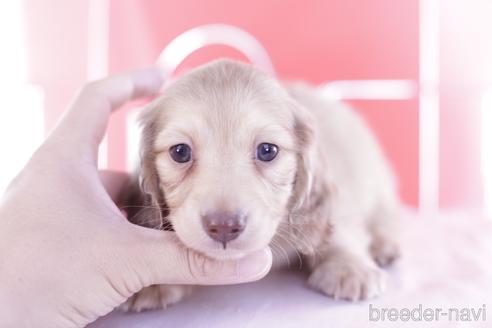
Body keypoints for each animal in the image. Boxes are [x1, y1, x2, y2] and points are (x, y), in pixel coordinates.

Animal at [119, 59, 400, 312]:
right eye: (180, 152)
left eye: (267, 150)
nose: (224, 227)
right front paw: (153, 281)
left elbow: (341, 225)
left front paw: (349, 265)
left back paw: (385, 244)